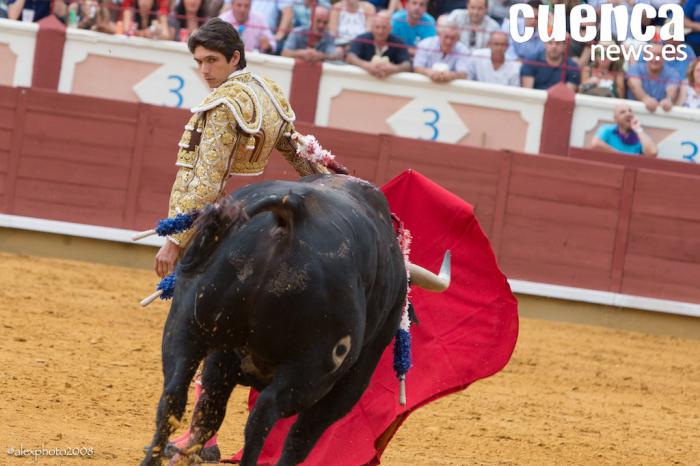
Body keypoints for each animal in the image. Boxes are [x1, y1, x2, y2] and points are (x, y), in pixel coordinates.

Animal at [144, 176, 412, 466]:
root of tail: (292, 211)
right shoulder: (349, 384)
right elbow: (302, 437)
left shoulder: (220, 358)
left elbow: (209, 413)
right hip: (311, 370)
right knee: (265, 415)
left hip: (186, 325)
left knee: (174, 395)